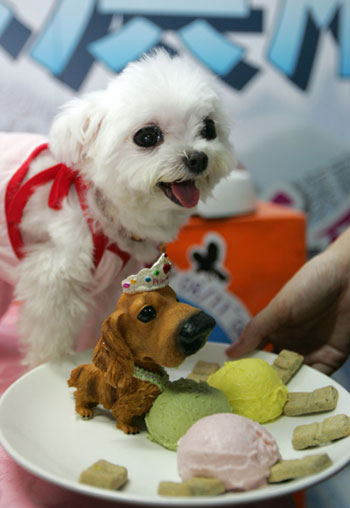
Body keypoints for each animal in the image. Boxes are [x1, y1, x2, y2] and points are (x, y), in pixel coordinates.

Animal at [0, 49, 235, 368]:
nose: (197, 158)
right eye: (147, 136)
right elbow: (51, 334)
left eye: (209, 128)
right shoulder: (54, 280)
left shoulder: (111, 286)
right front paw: (50, 364)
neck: (103, 210)